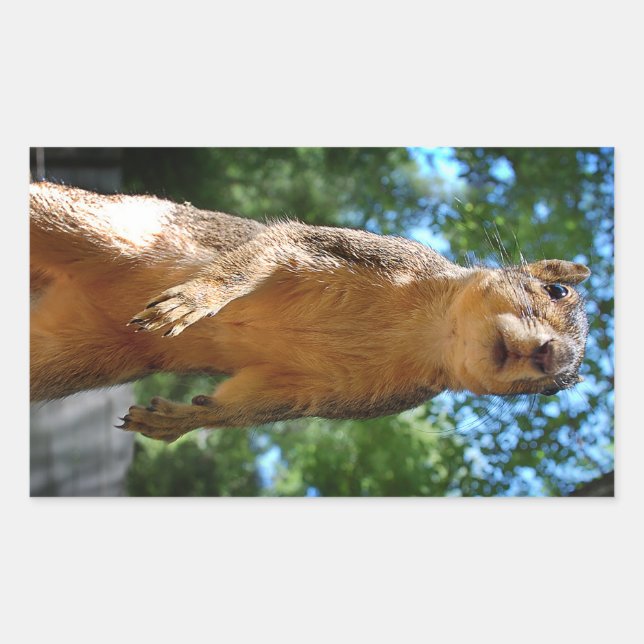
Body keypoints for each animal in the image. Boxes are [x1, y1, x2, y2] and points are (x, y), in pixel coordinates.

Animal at [30, 181, 591, 443]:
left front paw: (179, 419)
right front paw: (197, 300)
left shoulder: (332, 396)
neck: (430, 332)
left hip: (66, 355)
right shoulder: (341, 249)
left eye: (557, 389)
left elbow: (248, 405)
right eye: (556, 290)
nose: (552, 358)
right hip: (101, 223)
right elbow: (264, 253)